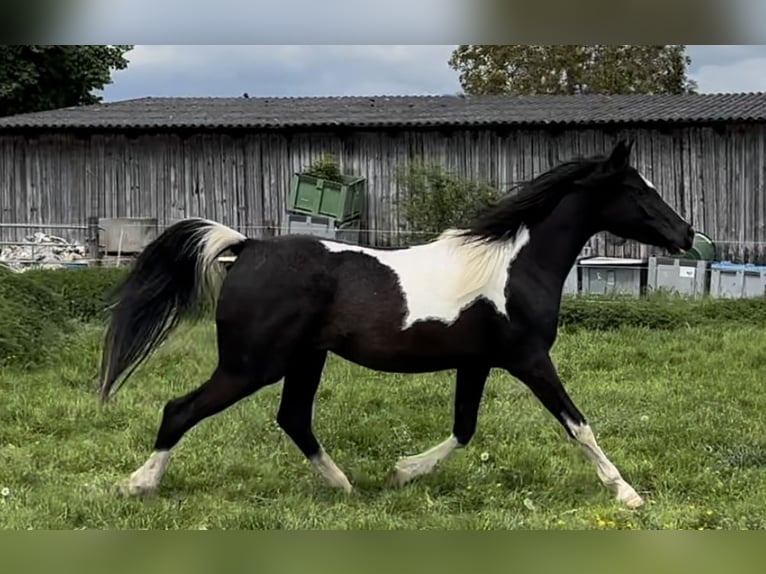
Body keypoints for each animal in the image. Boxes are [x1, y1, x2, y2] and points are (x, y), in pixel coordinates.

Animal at [97, 140, 696, 508]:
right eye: (638, 191)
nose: (687, 234)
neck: (512, 266)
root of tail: (248, 247)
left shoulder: (477, 363)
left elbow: (464, 428)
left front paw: (402, 472)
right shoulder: (528, 359)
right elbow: (578, 424)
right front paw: (627, 493)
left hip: (304, 359)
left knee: (293, 418)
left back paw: (345, 486)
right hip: (251, 364)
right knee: (181, 410)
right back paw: (138, 484)